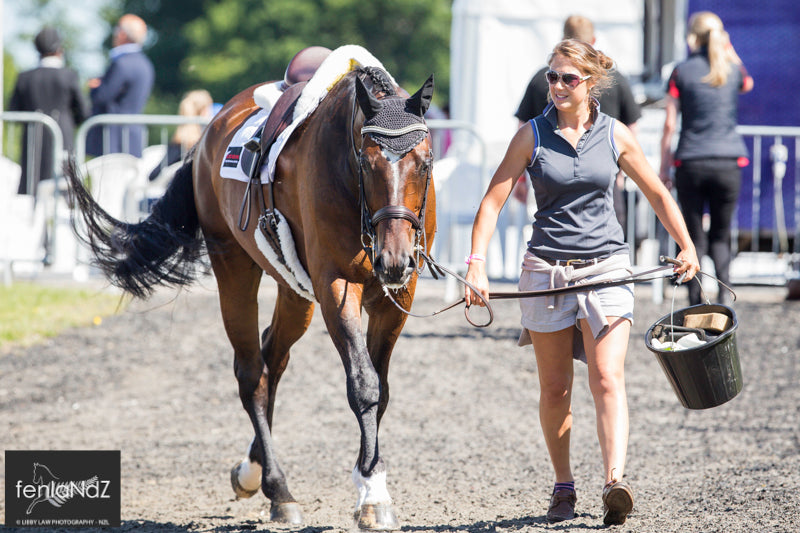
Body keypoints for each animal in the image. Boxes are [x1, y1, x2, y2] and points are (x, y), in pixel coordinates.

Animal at [65, 48, 436, 530]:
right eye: (367, 163)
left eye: (424, 163)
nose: (393, 260)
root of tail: (209, 132)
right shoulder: (337, 287)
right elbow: (364, 385)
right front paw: (372, 491)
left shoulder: (398, 298)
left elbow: (383, 388)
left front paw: (370, 480)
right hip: (233, 265)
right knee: (250, 372)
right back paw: (276, 487)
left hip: (295, 289)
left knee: (271, 359)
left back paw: (254, 469)